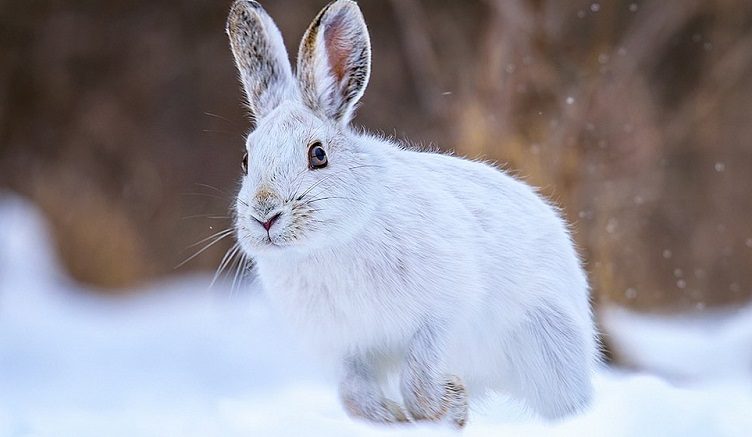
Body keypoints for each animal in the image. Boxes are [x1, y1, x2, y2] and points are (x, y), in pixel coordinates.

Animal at [226, 0, 598, 429]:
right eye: (245, 160)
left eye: (317, 154)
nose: (265, 216)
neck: (328, 244)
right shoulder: (347, 348)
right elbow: (354, 396)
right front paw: (394, 418)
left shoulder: (443, 315)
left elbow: (418, 376)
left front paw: (450, 404)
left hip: (549, 347)